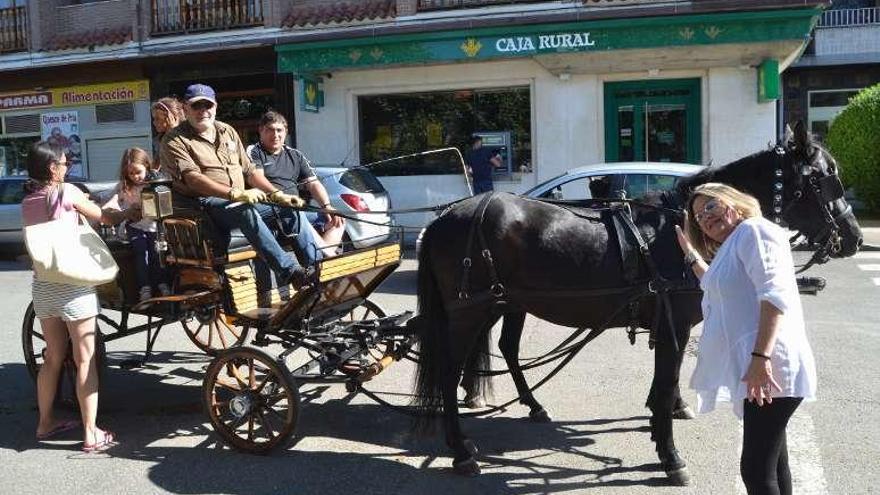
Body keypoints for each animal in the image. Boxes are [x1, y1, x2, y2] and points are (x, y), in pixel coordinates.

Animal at [412, 124, 860, 484]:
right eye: (827, 179)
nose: (853, 237)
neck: (678, 228)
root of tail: (443, 219)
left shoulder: (667, 325)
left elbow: (666, 384)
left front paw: (664, 423)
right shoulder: (674, 325)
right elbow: (666, 384)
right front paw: (670, 456)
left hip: (502, 304)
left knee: (503, 349)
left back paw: (528, 407)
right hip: (470, 311)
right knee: (449, 369)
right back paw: (461, 450)